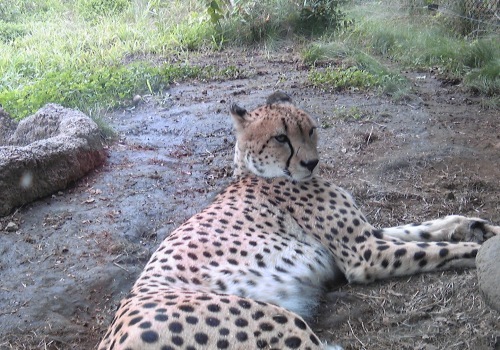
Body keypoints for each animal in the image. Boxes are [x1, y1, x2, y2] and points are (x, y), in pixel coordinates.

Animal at [98, 91, 500, 348]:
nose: (311, 162)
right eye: (280, 138)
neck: (256, 173)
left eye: (310, 130)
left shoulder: (367, 235)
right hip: (276, 318)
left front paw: (480, 226)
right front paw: (479, 247)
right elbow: (435, 249)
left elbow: (424, 228)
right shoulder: (364, 254)